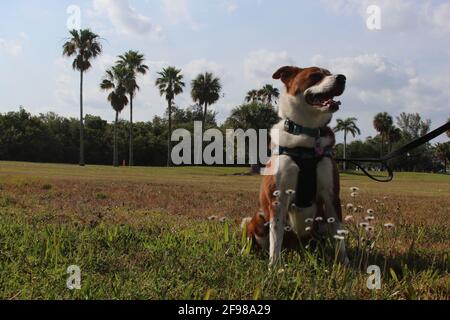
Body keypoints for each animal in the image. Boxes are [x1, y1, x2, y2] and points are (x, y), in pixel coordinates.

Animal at [244, 66, 350, 266]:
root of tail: (295, 247)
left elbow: (339, 234)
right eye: (315, 76)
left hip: (320, 221)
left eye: (329, 72)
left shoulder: (331, 196)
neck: (307, 134)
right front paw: (274, 266)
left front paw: (345, 264)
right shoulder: (277, 198)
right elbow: (275, 238)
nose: (342, 77)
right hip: (259, 218)